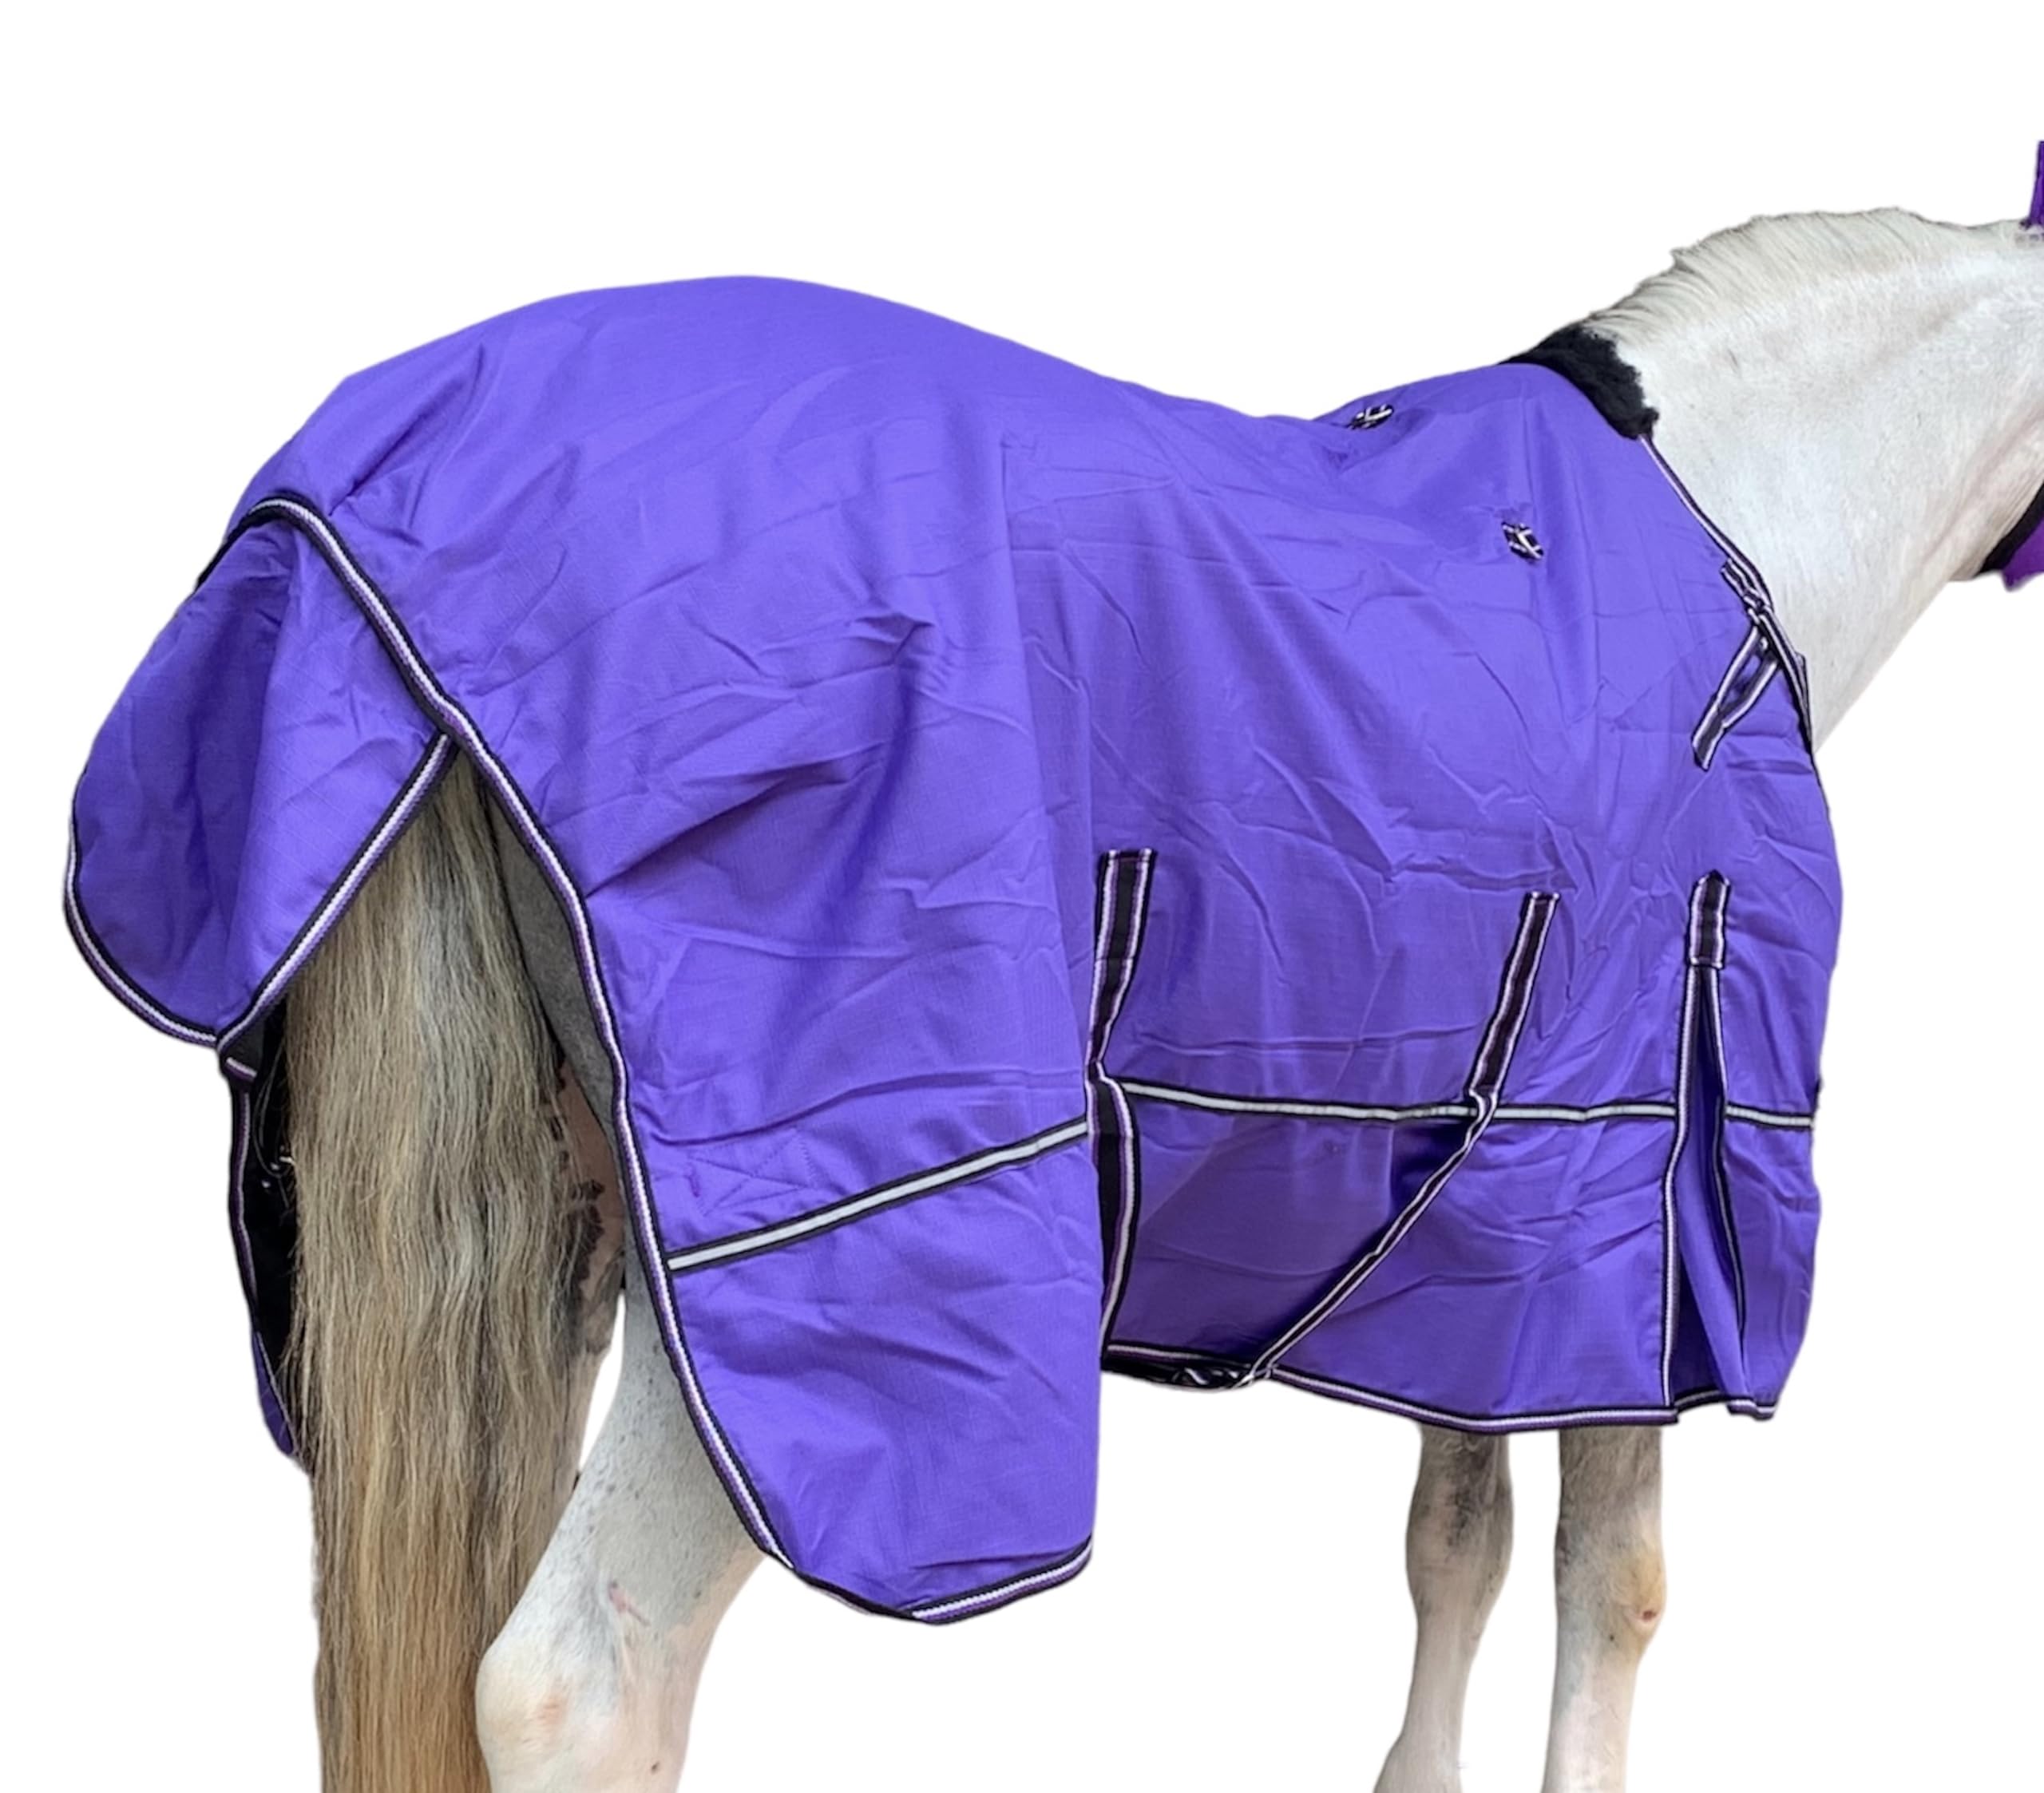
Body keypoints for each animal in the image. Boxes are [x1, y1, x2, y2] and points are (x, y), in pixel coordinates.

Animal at [62, 169, 2044, 1793]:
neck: (1724, 511)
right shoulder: (1641, 1197)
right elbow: (1606, 1587)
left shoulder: (1484, 1238)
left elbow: (1452, 1539)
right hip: (786, 1289)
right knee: (577, 1684)